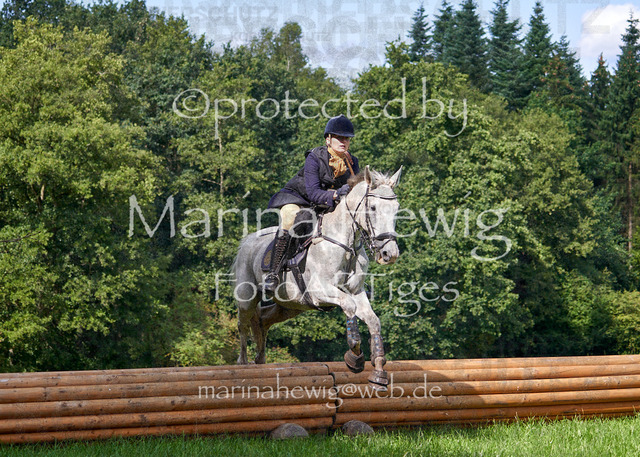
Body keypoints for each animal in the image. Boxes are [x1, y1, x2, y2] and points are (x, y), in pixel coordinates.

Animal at [232, 166, 402, 390]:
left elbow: (374, 322)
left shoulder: (356, 292)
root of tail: (247, 240)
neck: (346, 245)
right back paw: (242, 362)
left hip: (291, 305)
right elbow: (349, 306)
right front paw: (355, 358)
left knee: (262, 320)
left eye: (396, 208)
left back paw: (260, 359)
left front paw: (379, 371)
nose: (389, 254)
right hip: (247, 297)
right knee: (243, 324)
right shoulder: (320, 291)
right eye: (372, 208)